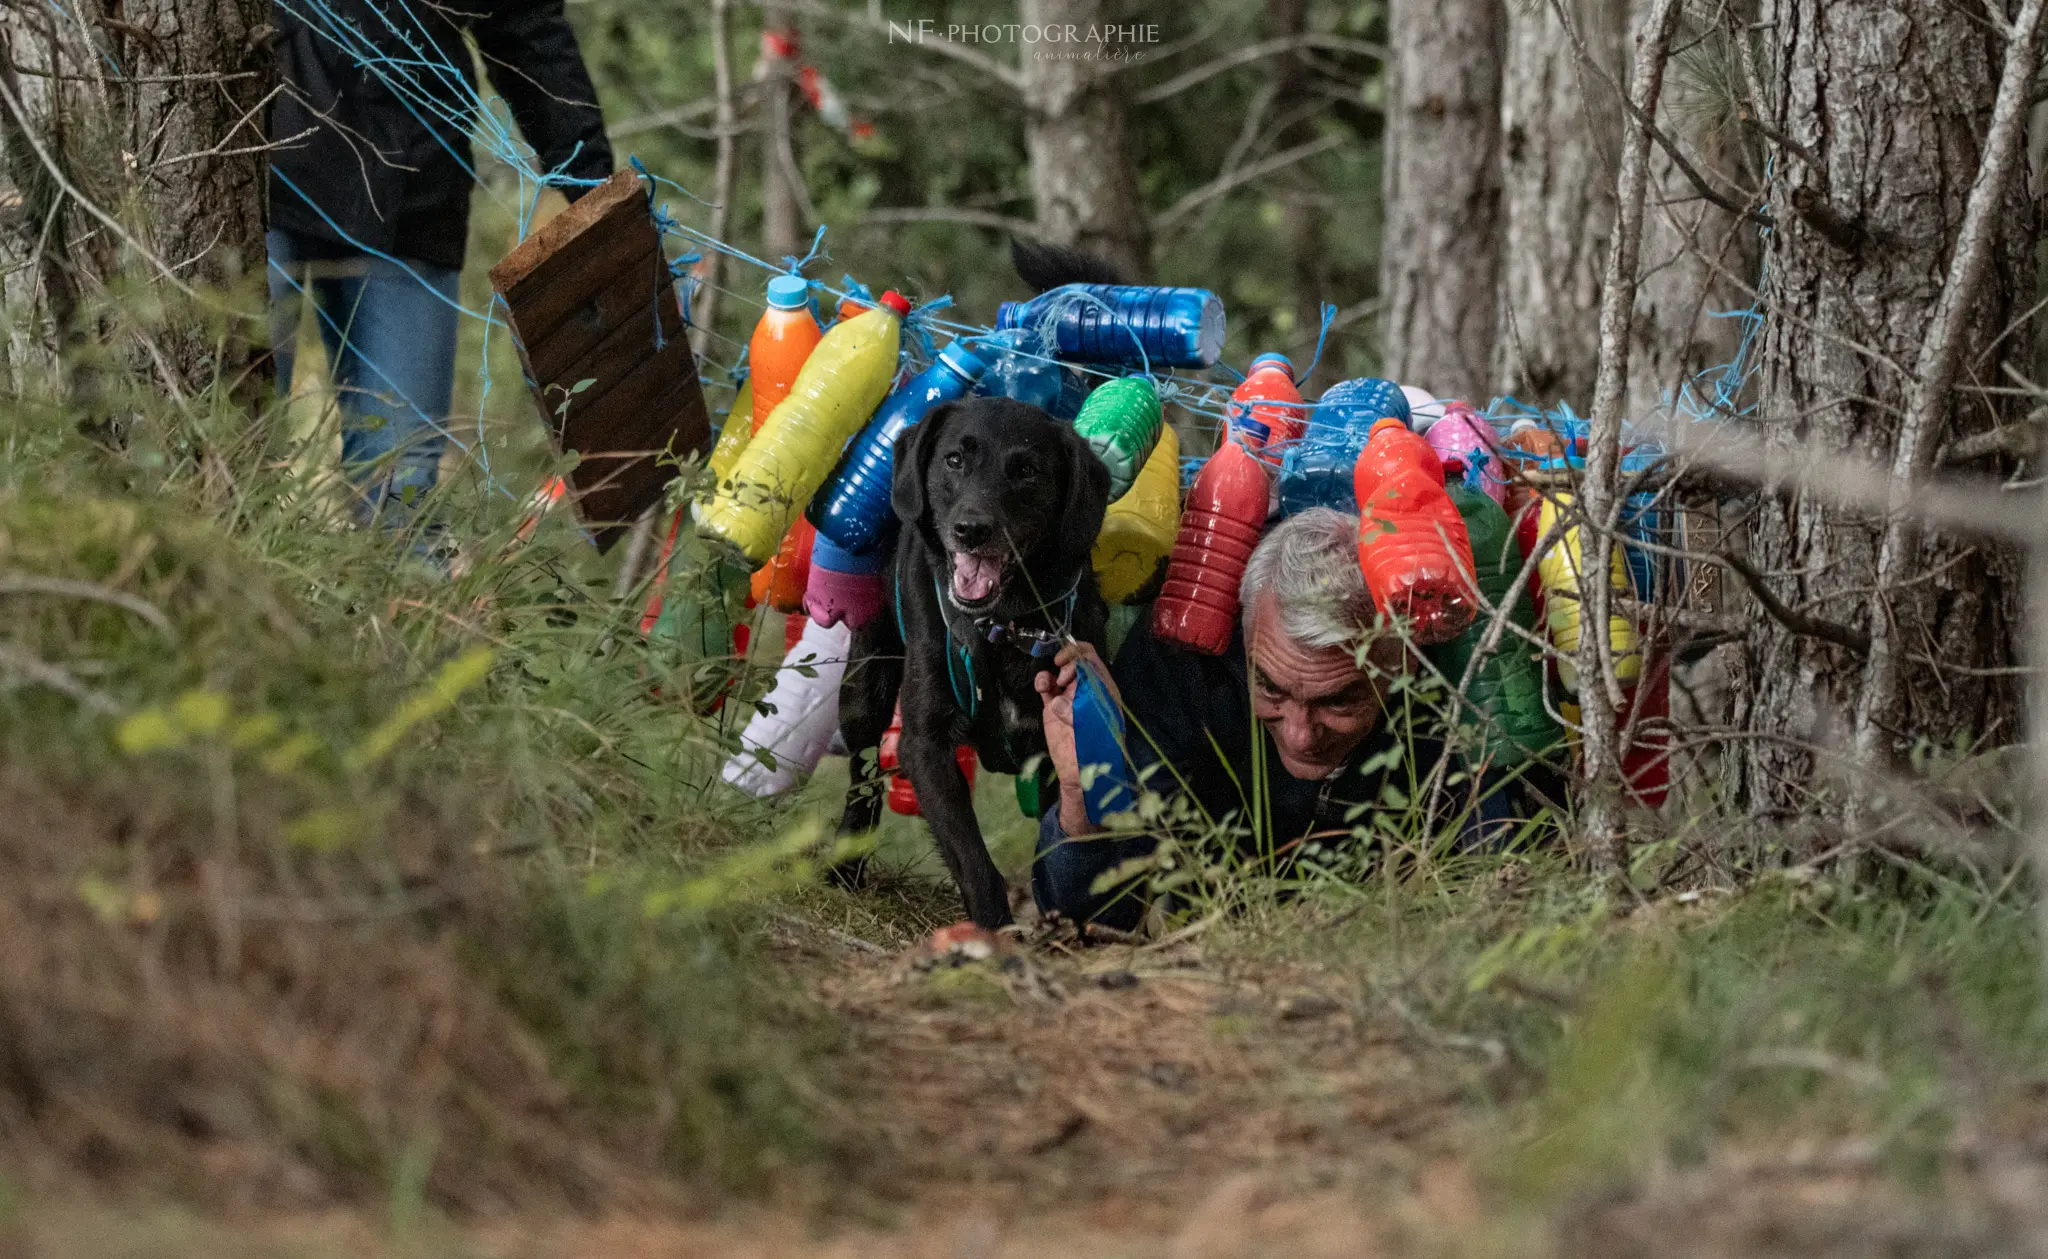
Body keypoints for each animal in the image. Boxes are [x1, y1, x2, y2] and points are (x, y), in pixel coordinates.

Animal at [835, 399, 1114, 929]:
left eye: (1026, 471)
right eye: (954, 460)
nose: (971, 530)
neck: (1004, 626)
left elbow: (1059, 841)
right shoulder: (926, 745)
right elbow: (974, 861)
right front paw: (994, 933)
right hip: (863, 690)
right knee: (862, 780)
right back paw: (843, 869)